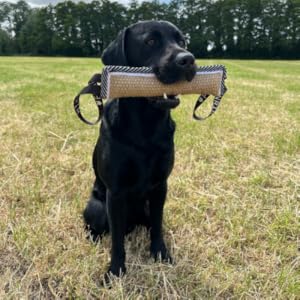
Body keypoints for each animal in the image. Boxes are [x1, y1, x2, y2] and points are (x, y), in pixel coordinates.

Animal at [83, 20, 196, 278]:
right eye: (150, 41)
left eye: (182, 41)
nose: (188, 59)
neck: (146, 127)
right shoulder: (115, 193)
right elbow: (116, 240)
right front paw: (115, 271)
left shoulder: (160, 186)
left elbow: (157, 226)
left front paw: (160, 254)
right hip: (96, 207)